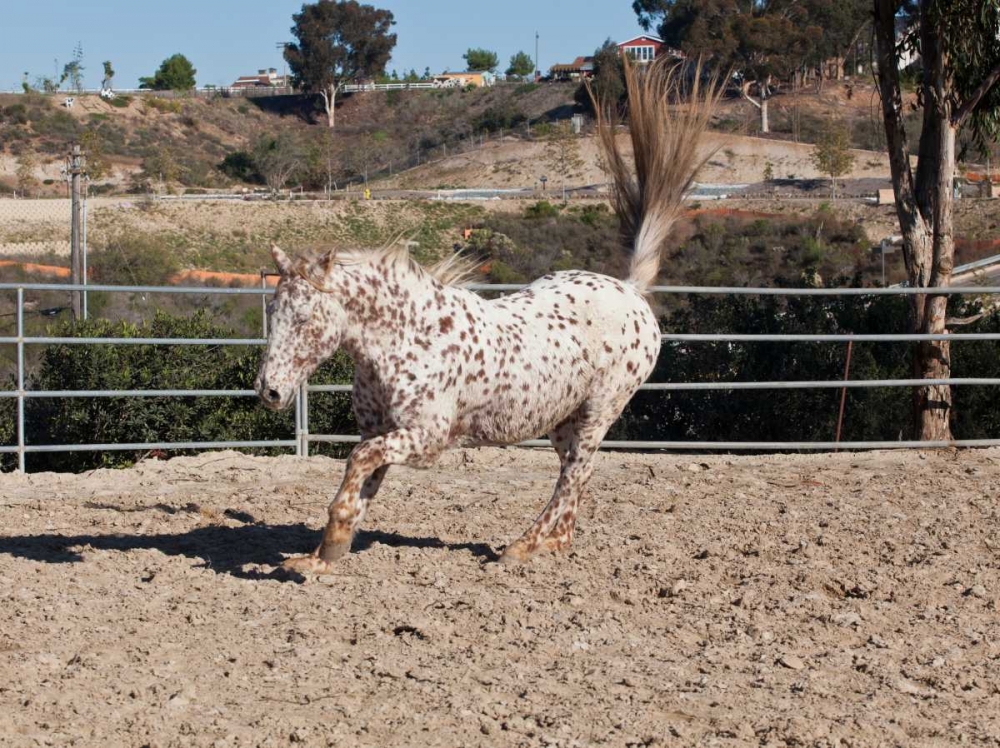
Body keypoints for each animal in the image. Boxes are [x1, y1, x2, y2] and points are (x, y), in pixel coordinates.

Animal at [254, 60, 716, 572]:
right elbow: (361, 482)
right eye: (272, 309)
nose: (268, 390)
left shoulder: (426, 438)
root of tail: (631, 291)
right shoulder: (383, 431)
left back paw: (521, 546)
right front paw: (319, 556)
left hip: (600, 410)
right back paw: (554, 543)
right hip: (564, 419)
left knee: (575, 472)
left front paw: (331, 542)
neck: (404, 341)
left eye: (305, 317)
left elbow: (357, 461)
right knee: (573, 474)